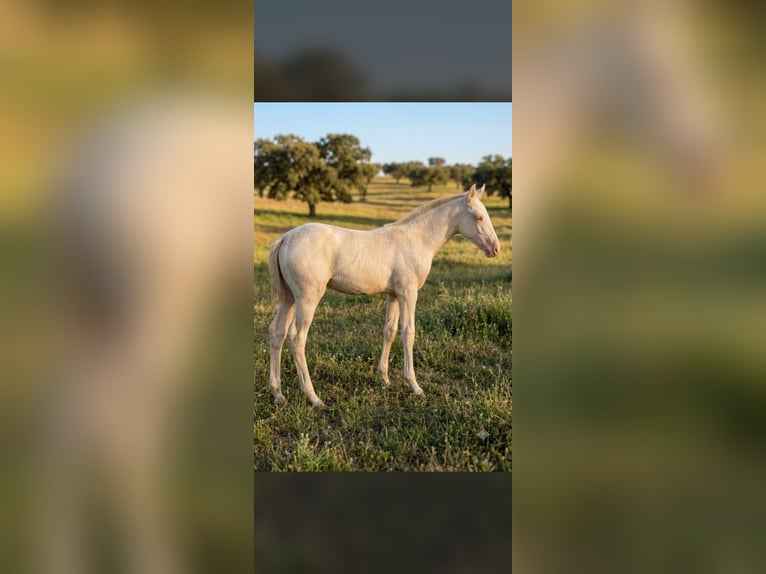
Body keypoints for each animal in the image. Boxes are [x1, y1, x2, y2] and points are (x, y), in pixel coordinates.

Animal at [267, 183, 501, 407]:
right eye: (478, 217)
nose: (495, 249)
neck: (416, 239)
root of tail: (285, 238)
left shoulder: (394, 294)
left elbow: (389, 331)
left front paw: (385, 379)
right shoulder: (408, 292)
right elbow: (408, 332)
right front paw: (414, 386)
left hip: (289, 298)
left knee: (277, 332)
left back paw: (278, 394)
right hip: (308, 298)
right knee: (297, 338)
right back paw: (313, 397)